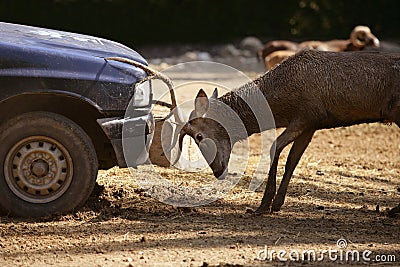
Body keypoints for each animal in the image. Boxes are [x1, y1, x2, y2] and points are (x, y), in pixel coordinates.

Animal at [166, 49, 400, 215]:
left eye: (199, 136)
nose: (217, 170)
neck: (282, 105)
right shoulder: (312, 124)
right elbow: (293, 160)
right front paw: (277, 203)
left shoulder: (306, 115)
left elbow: (274, 148)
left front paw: (263, 205)